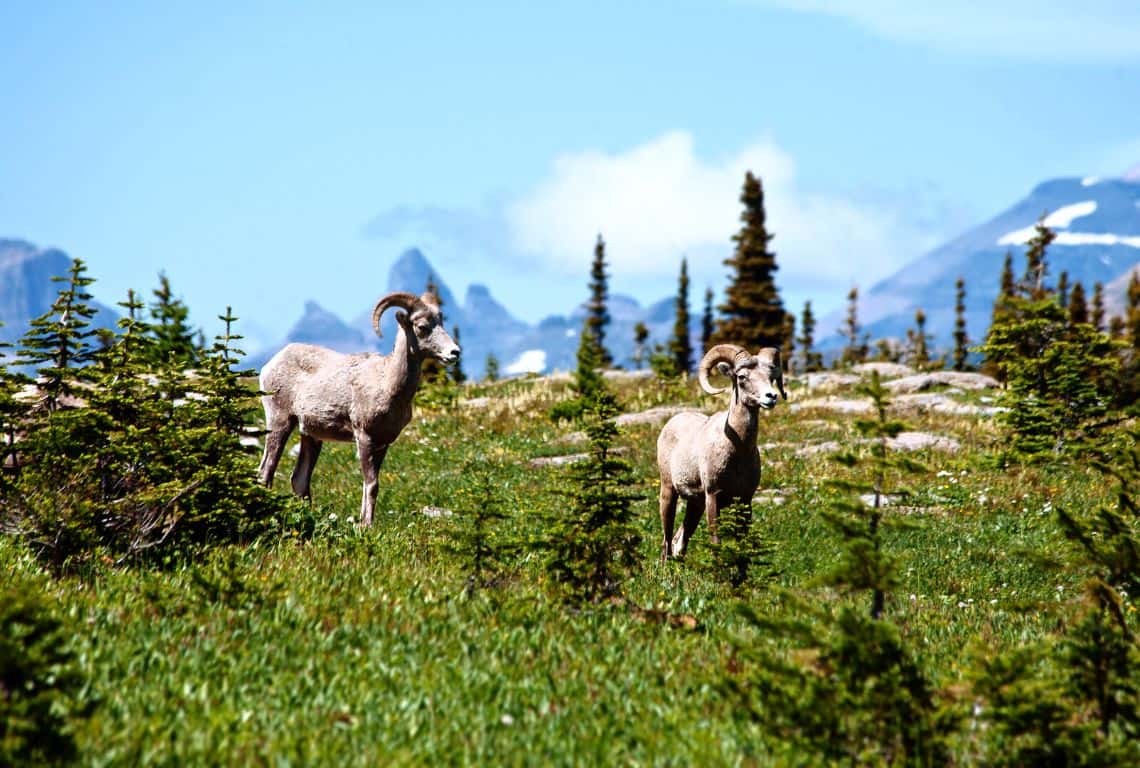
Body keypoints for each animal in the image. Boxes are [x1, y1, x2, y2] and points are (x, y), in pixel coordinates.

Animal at [257, 290, 458, 524]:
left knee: (299, 479)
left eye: (441, 322)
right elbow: (371, 485)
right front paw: (367, 526)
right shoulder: (365, 438)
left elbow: (371, 485)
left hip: (310, 436)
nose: (454, 352)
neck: (388, 384)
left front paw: (364, 522)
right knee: (266, 471)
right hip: (280, 422)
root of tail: (271, 364)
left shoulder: (383, 444)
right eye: (422, 326)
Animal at [656, 344, 788, 558]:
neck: (737, 451)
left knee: (679, 541)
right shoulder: (713, 496)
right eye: (742, 377)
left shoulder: (744, 499)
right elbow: (715, 542)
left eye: (770, 375)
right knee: (667, 541)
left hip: (695, 504)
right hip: (669, 492)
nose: (771, 397)